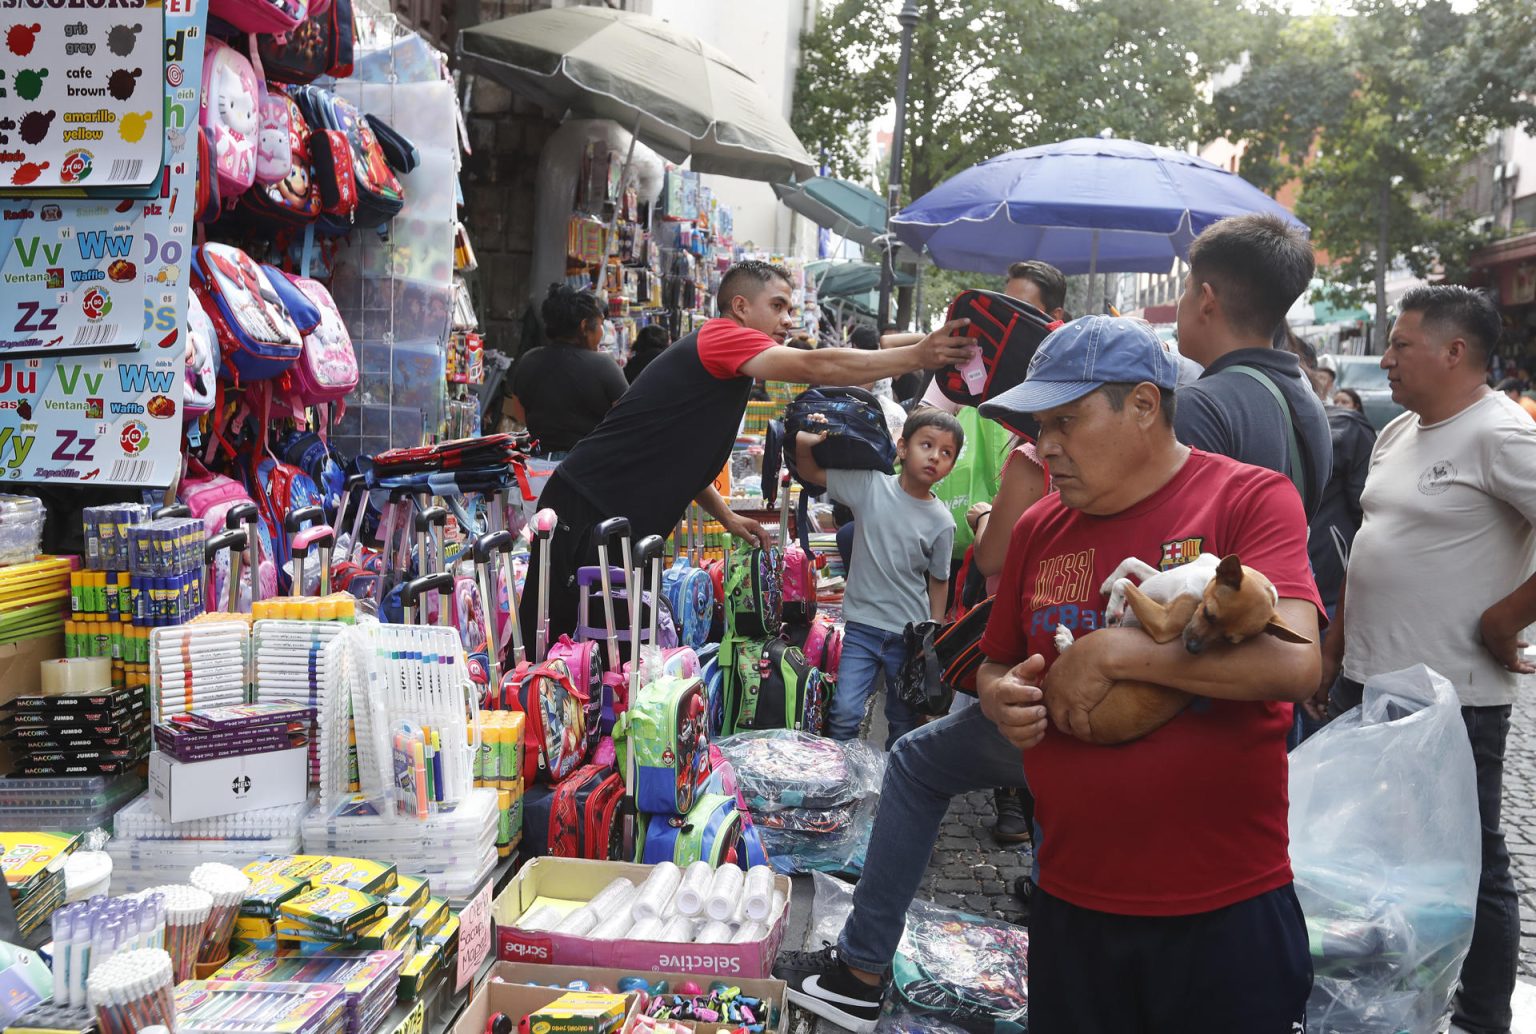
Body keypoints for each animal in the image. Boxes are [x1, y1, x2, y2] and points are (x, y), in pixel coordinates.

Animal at [1056, 553, 1308, 746]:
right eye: (1208, 613)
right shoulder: (1158, 582)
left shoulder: (1164, 624)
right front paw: (1109, 583)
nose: (1193, 649)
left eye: (1229, 641)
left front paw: (1113, 608)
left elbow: (1126, 584)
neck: (1202, 576)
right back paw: (1067, 639)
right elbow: (1131, 563)